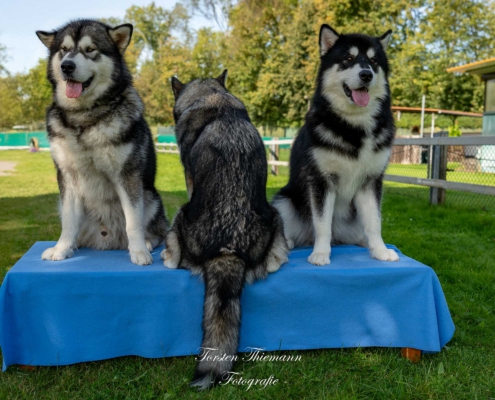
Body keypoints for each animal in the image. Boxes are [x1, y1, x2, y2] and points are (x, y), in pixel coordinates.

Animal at [36, 21, 169, 266]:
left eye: (90, 50)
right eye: (63, 50)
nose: (66, 66)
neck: (84, 116)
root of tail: (108, 240)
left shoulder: (128, 176)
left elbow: (133, 221)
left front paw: (139, 251)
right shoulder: (67, 177)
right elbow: (68, 221)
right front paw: (62, 248)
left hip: (151, 197)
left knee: (157, 231)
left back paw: (146, 243)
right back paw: (75, 244)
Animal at [164, 70, 286, 390]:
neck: (212, 96)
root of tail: (227, 248)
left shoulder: (189, 179)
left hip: (181, 213)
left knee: (174, 248)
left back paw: (167, 257)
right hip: (275, 214)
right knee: (278, 254)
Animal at [274, 26, 402, 268]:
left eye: (373, 61)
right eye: (348, 58)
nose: (366, 75)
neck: (354, 126)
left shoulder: (370, 182)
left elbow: (375, 223)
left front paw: (380, 251)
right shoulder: (321, 181)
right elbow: (323, 224)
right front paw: (321, 253)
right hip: (284, 200)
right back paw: (288, 242)